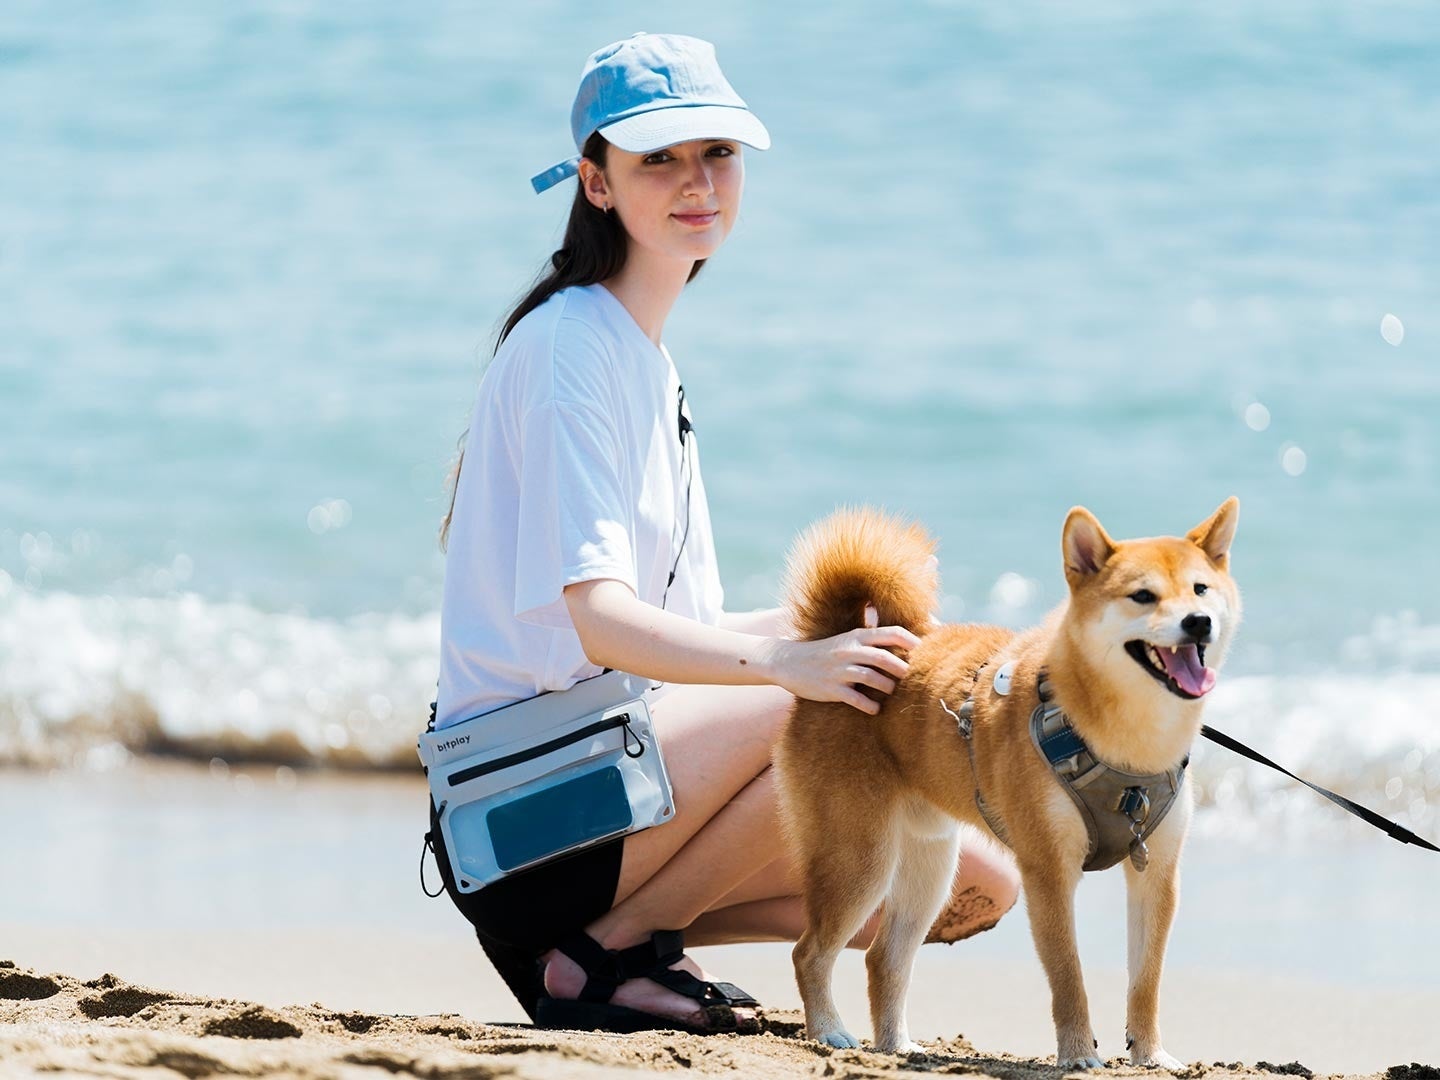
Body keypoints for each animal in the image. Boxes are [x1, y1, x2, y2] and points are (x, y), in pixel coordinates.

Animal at [773, 500, 1241, 1069]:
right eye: (1143, 596)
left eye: (1200, 589)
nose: (1198, 622)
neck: (1129, 744)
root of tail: (840, 643)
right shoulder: (1049, 871)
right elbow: (1069, 976)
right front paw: (1079, 1055)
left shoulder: (1157, 875)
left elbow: (1145, 981)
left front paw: (1151, 1055)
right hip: (861, 860)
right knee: (809, 952)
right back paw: (829, 1030)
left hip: (930, 865)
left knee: (884, 959)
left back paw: (898, 1047)